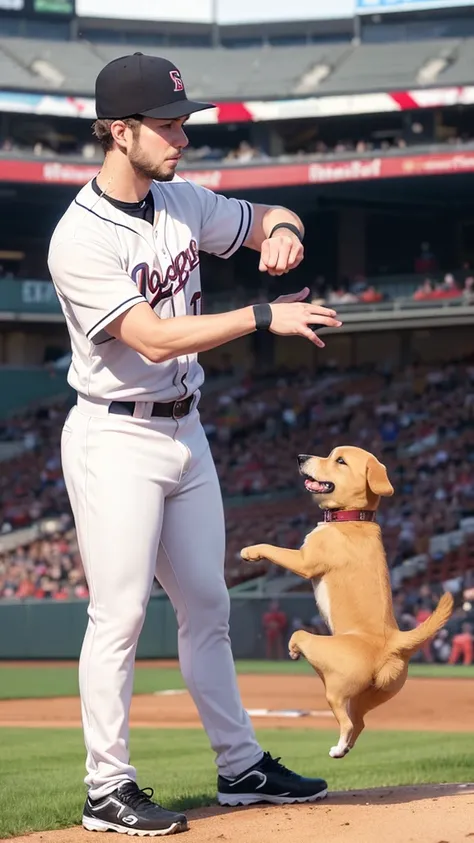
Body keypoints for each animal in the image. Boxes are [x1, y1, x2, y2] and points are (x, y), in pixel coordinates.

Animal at [243, 452, 454, 760]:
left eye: (339, 460)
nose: (301, 457)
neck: (353, 516)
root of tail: (393, 642)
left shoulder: (304, 561)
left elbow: (273, 549)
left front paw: (251, 551)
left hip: (330, 674)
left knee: (344, 716)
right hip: (370, 695)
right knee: (360, 722)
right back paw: (343, 748)